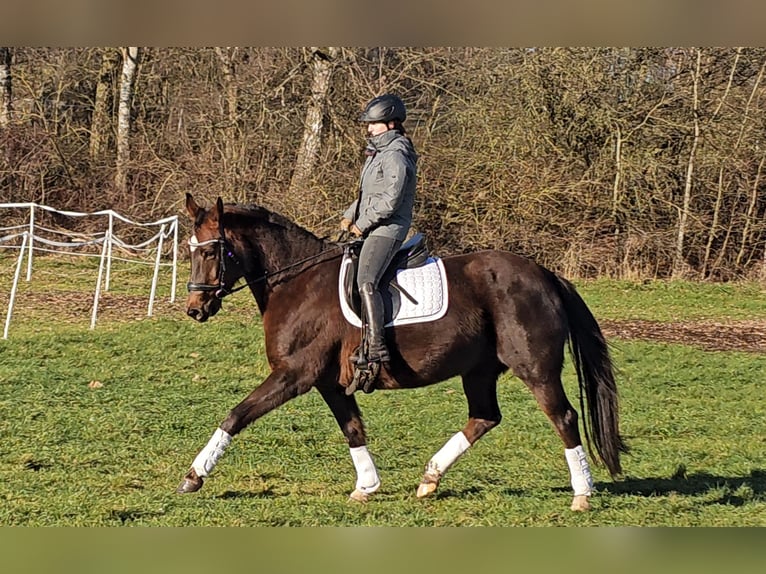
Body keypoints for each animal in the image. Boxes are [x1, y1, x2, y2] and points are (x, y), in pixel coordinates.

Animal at [180, 195, 632, 512]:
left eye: (210, 251)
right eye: (189, 249)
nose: (195, 309)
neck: (296, 283)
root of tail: (545, 275)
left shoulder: (295, 374)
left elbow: (235, 415)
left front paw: (194, 476)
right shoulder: (329, 383)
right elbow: (353, 429)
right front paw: (366, 487)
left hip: (535, 368)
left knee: (564, 417)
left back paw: (582, 494)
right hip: (478, 369)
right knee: (484, 417)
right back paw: (429, 479)